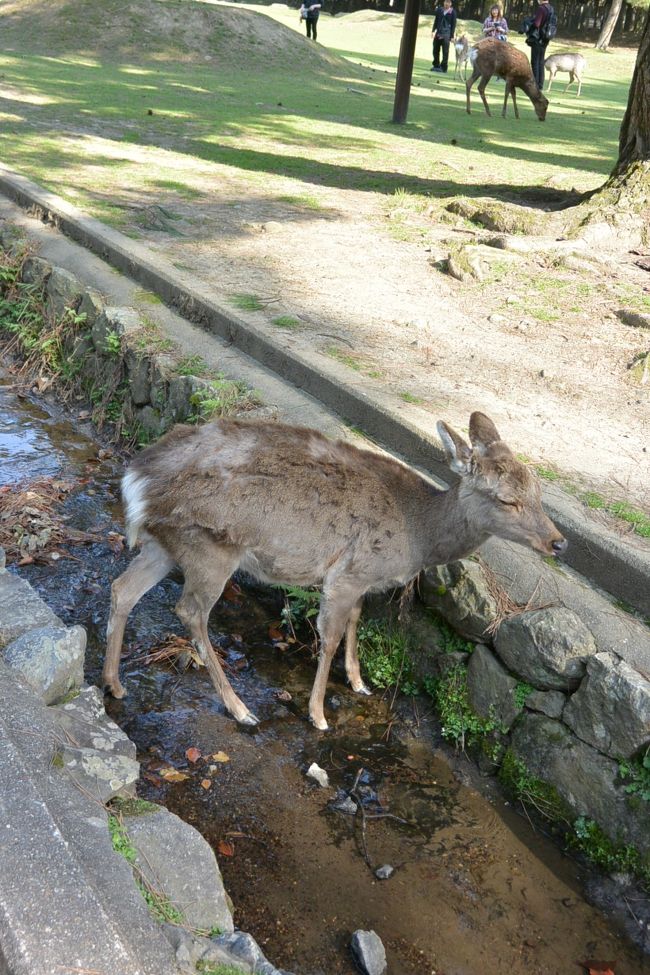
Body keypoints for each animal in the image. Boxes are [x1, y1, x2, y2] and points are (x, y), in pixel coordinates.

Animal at [103, 412, 567, 731]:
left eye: (538, 491)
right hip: (210, 546)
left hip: (165, 543)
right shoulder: (347, 574)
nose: (558, 542)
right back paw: (240, 709)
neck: (417, 536)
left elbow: (355, 621)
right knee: (190, 611)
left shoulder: (362, 577)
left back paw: (114, 682)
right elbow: (328, 636)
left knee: (122, 588)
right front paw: (318, 713)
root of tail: (135, 478)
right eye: (507, 500)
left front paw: (359, 682)